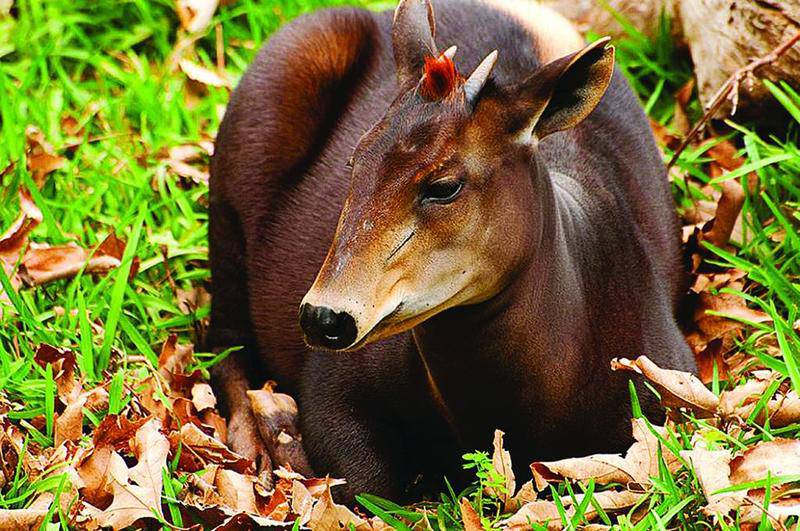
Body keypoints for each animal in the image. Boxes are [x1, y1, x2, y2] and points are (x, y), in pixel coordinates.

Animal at [208, 0, 696, 503]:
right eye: (354, 161)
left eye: (444, 186)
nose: (324, 317)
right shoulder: (332, 385)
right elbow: (367, 488)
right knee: (224, 341)